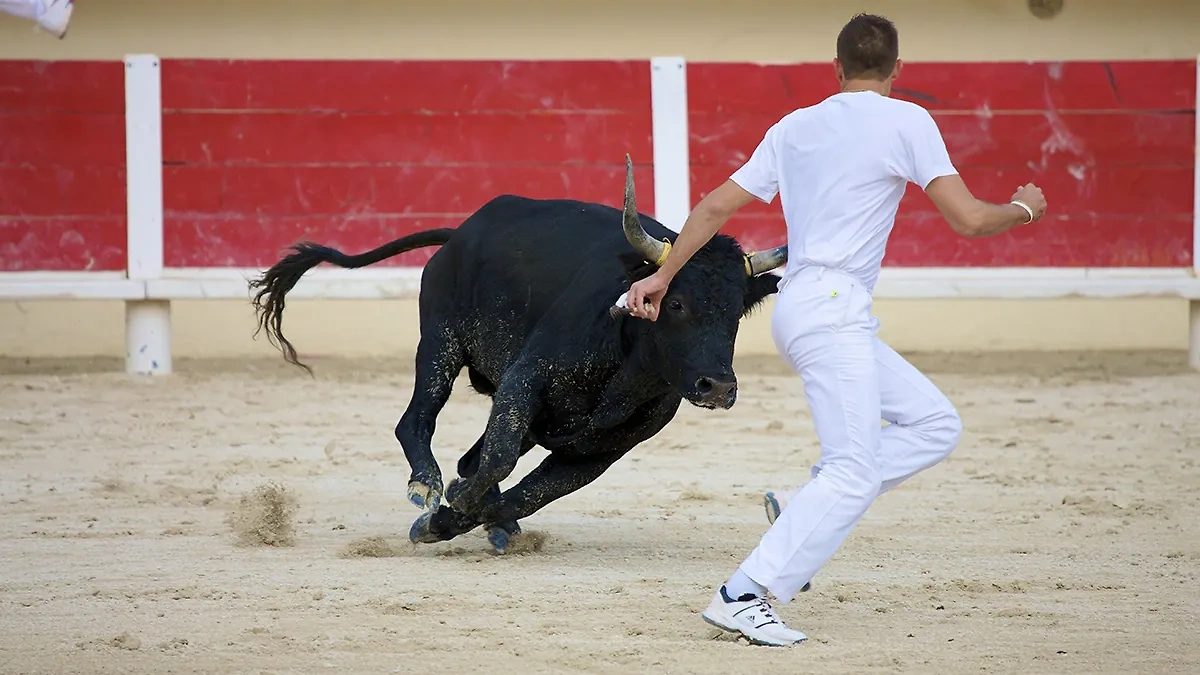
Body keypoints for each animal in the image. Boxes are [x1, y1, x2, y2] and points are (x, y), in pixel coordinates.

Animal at [248, 156, 787, 552]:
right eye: (676, 303)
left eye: (736, 313)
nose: (718, 387)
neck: (624, 373)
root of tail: (461, 233)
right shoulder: (525, 379)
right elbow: (499, 459)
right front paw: (448, 507)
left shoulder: (601, 451)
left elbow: (527, 495)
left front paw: (457, 520)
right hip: (440, 343)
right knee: (417, 421)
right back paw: (426, 485)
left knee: (470, 456)